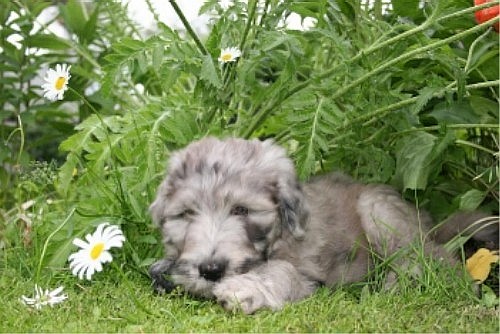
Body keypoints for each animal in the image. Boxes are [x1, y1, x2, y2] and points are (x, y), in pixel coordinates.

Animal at [147, 136, 496, 314]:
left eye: (241, 210)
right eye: (187, 214)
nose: (210, 270)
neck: (278, 237)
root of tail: (429, 222)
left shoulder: (307, 274)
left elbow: (281, 271)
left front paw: (244, 288)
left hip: (379, 210)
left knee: (434, 259)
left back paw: (397, 283)